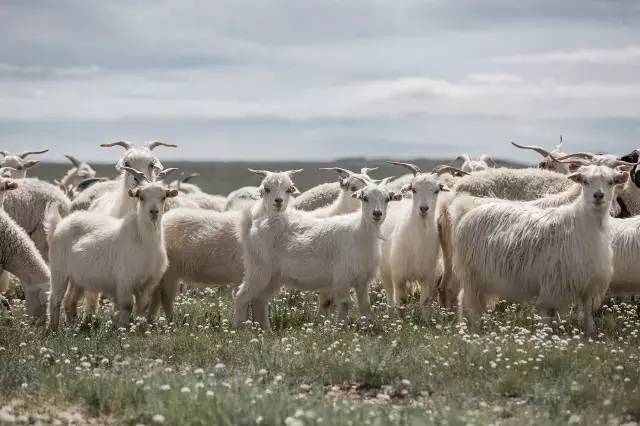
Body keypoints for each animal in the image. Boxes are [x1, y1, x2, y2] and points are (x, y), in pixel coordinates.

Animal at [46, 166, 179, 330]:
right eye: (141, 196)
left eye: (164, 196)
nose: (153, 212)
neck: (143, 240)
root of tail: (60, 224)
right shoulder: (124, 280)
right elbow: (127, 305)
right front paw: (122, 329)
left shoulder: (148, 283)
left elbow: (142, 306)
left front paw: (140, 329)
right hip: (59, 270)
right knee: (55, 299)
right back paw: (53, 328)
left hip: (77, 277)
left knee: (70, 301)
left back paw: (72, 328)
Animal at [452, 165, 628, 334]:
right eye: (585, 181)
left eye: (611, 182)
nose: (598, 196)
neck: (585, 224)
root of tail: (467, 210)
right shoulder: (552, 285)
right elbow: (546, 316)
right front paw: (544, 338)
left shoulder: (588, 284)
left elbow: (587, 314)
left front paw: (590, 333)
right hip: (472, 273)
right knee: (469, 303)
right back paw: (472, 329)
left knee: (464, 298)